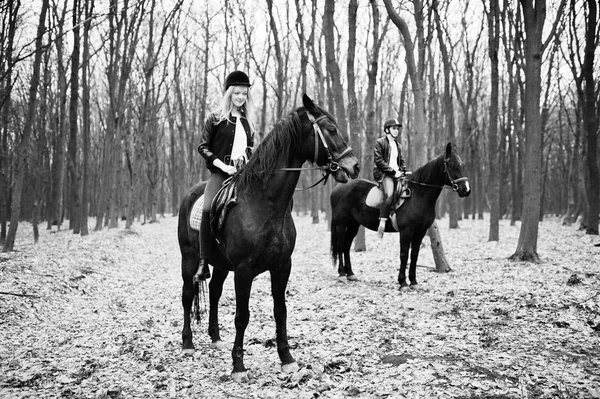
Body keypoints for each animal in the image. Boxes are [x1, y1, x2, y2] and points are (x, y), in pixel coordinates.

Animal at [176, 94, 358, 384]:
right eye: (331, 129)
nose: (354, 165)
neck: (264, 204)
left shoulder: (282, 266)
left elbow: (280, 311)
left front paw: (287, 360)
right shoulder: (244, 271)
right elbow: (242, 316)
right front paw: (238, 367)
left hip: (220, 264)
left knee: (214, 292)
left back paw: (215, 338)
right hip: (190, 257)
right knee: (186, 294)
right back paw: (188, 343)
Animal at [330, 144, 472, 288]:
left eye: (462, 165)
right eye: (451, 165)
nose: (466, 190)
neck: (418, 195)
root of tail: (337, 189)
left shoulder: (420, 231)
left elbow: (414, 254)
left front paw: (413, 281)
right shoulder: (406, 231)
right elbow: (404, 254)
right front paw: (403, 282)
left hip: (354, 224)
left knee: (346, 245)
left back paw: (350, 274)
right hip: (341, 223)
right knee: (341, 245)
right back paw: (342, 274)